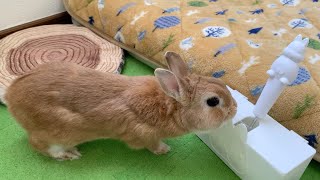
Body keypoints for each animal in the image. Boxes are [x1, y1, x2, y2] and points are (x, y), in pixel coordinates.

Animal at [3, 51, 236, 160]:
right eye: (213, 101)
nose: (234, 109)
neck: (169, 106)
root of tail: (11, 96)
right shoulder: (145, 135)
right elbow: (152, 144)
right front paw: (164, 150)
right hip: (54, 134)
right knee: (41, 146)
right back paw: (69, 154)